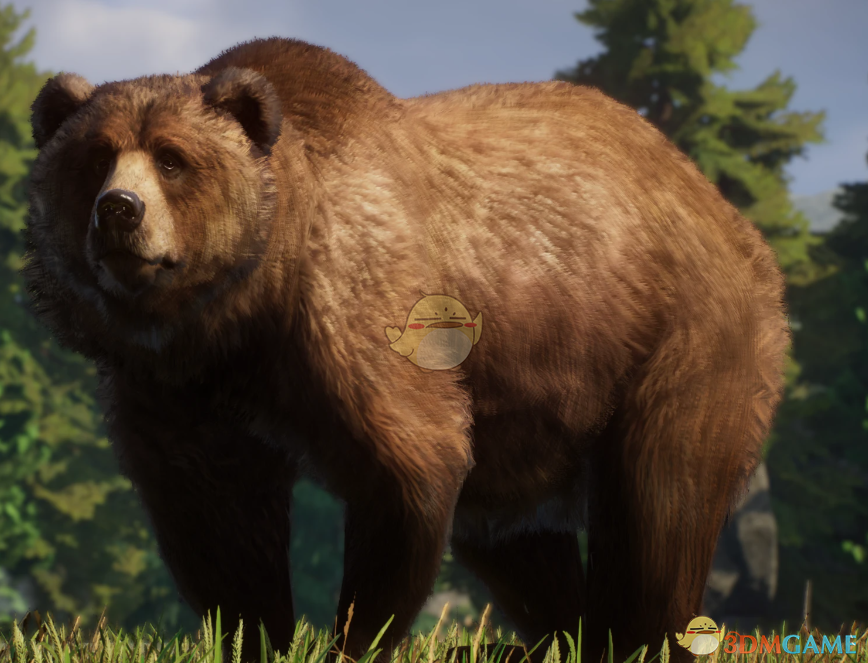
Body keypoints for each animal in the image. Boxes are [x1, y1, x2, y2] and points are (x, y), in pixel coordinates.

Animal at [24, 37, 789, 663]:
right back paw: (553, 637)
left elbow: (409, 463)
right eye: (96, 156)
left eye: (172, 159)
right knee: (515, 541)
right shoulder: (172, 389)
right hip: (531, 407)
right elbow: (214, 517)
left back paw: (632, 636)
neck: (241, 315)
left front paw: (354, 638)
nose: (119, 210)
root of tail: (723, 210)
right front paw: (253, 633)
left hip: (673, 338)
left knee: (661, 505)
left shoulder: (359, 315)